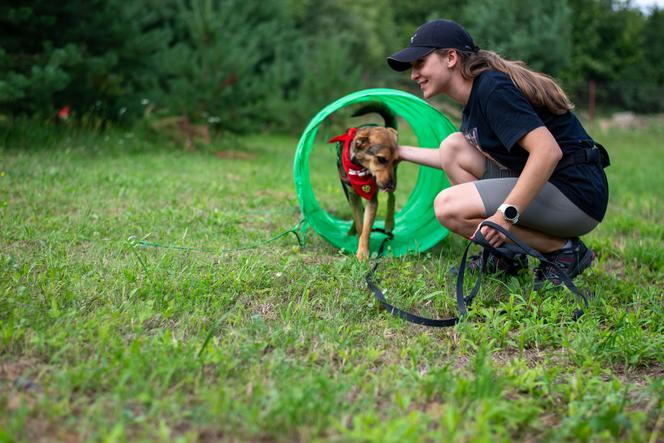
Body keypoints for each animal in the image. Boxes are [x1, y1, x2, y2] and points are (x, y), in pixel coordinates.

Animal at [328, 103, 400, 260]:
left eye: (396, 160)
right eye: (381, 159)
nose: (390, 184)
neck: (359, 167)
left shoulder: (372, 199)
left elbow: (366, 228)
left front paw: (362, 253)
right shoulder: (352, 195)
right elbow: (360, 223)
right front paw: (359, 244)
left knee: (392, 197)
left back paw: (389, 222)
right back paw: (351, 231)